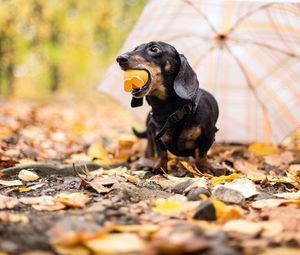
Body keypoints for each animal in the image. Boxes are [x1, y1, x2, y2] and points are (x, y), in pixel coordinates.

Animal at [116, 40, 218, 170]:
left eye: (154, 49)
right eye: (135, 48)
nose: (120, 58)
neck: (167, 110)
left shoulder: (209, 135)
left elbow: (201, 155)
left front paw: (203, 169)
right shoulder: (156, 135)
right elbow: (162, 153)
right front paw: (159, 167)